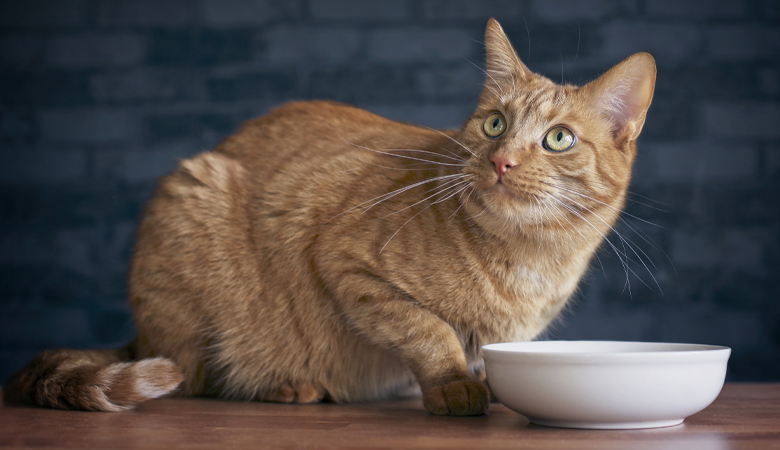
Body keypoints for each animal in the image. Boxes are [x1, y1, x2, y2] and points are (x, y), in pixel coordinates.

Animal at [3, 20, 656, 414]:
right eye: (494, 124)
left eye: (558, 138)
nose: (501, 160)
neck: (529, 258)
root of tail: (138, 338)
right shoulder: (348, 262)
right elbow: (431, 331)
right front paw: (454, 386)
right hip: (192, 209)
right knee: (196, 375)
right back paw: (286, 385)